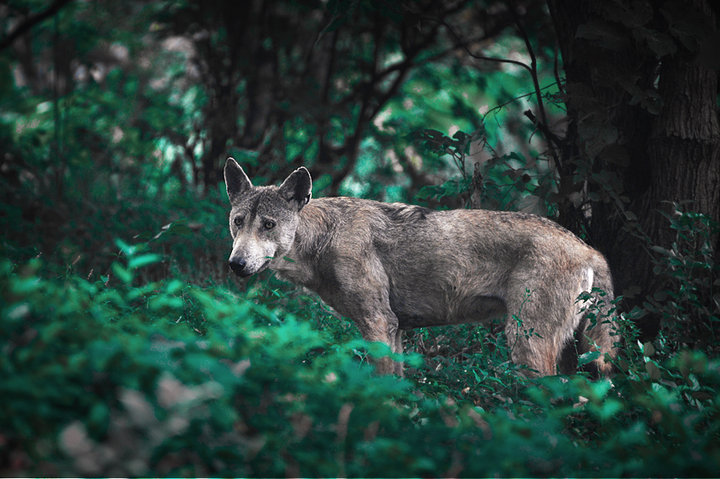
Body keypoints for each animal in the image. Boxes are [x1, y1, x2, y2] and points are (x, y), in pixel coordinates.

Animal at [222, 159, 616, 376]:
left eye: (268, 225)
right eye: (238, 222)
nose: (236, 264)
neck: (324, 238)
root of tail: (591, 249)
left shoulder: (379, 323)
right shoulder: (396, 329)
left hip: (525, 344)